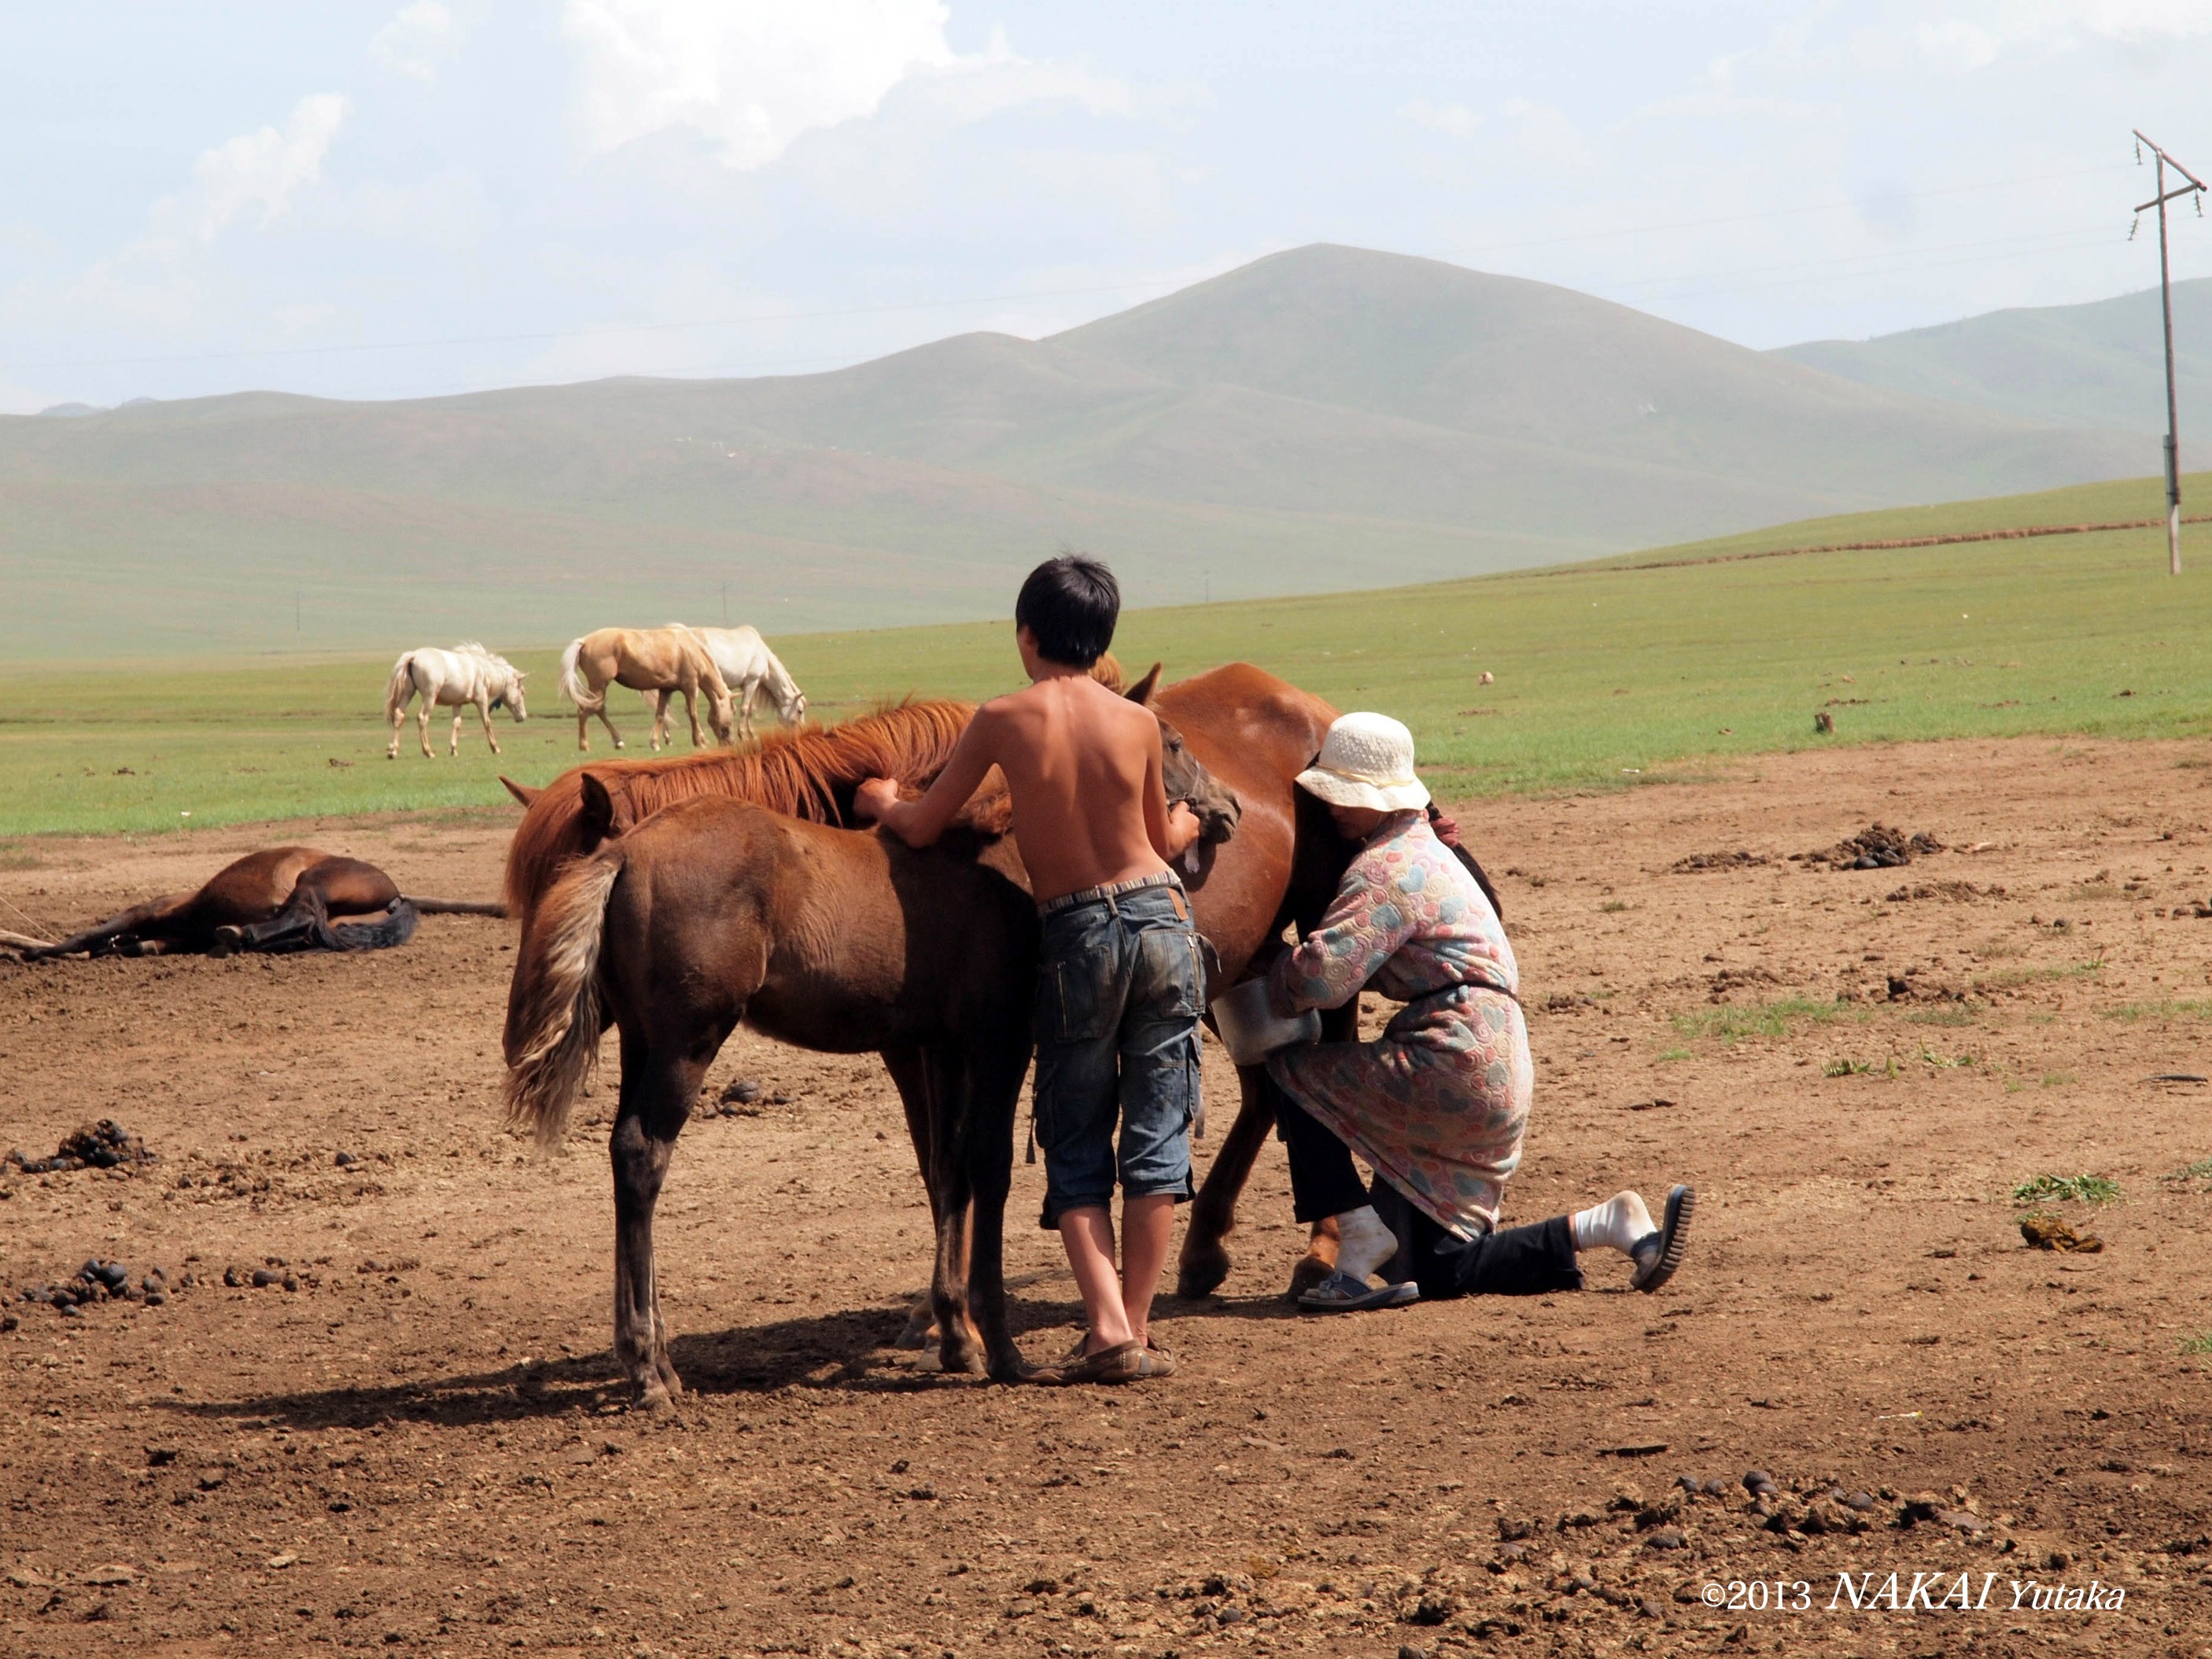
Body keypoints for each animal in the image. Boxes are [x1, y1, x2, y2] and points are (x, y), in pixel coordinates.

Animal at [18, 848, 422, 959]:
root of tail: (396, 894)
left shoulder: (143, 913)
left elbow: (87, 935)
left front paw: (35, 952)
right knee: (304, 929)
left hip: (313, 881)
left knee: (303, 914)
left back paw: (238, 934)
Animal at [384, 644, 528, 760]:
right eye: (522, 691)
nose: (523, 716)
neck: (482, 670)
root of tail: (413, 656)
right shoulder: (481, 700)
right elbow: (487, 722)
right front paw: (495, 748)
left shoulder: (457, 704)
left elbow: (456, 724)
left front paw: (453, 749)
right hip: (429, 697)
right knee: (422, 718)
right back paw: (428, 752)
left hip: (408, 693)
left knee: (399, 715)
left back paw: (393, 751)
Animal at [559, 627, 733, 753]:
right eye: (734, 710)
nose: (730, 742)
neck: (690, 649)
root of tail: (584, 641)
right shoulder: (690, 686)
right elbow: (693, 714)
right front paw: (699, 741)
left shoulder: (666, 689)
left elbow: (660, 715)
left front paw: (655, 743)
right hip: (599, 685)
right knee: (585, 711)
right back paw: (585, 745)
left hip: (599, 687)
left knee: (598, 710)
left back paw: (618, 742)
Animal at [664, 625, 807, 743]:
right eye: (800, 711)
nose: (802, 732)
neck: (763, 655)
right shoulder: (752, 682)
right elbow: (744, 708)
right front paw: (742, 735)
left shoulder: (747, 685)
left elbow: (750, 710)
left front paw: (752, 734)